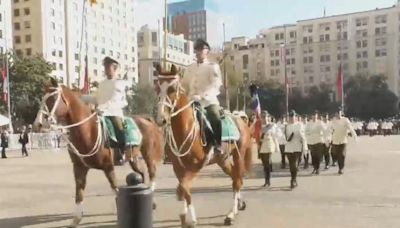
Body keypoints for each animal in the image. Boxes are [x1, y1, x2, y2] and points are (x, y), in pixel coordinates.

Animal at [32, 78, 163, 226]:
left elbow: (115, 188)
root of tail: (145, 119)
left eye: (53, 98)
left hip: (148, 154)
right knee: (141, 173)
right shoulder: (79, 168)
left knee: (152, 172)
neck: (88, 131)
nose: (37, 124)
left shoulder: (108, 167)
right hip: (133, 158)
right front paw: (76, 220)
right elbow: (79, 193)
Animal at [155, 65, 252, 227]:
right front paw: (184, 215)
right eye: (157, 87)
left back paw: (231, 214)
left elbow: (184, 187)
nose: (161, 119)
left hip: (238, 155)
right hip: (222, 160)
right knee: (234, 177)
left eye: (172, 88)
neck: (185, 128)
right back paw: (240, 204)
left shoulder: (196, 166)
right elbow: (184, 189)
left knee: (237, 180)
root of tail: (240, 120)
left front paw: (191, 219)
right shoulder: (178, 167)